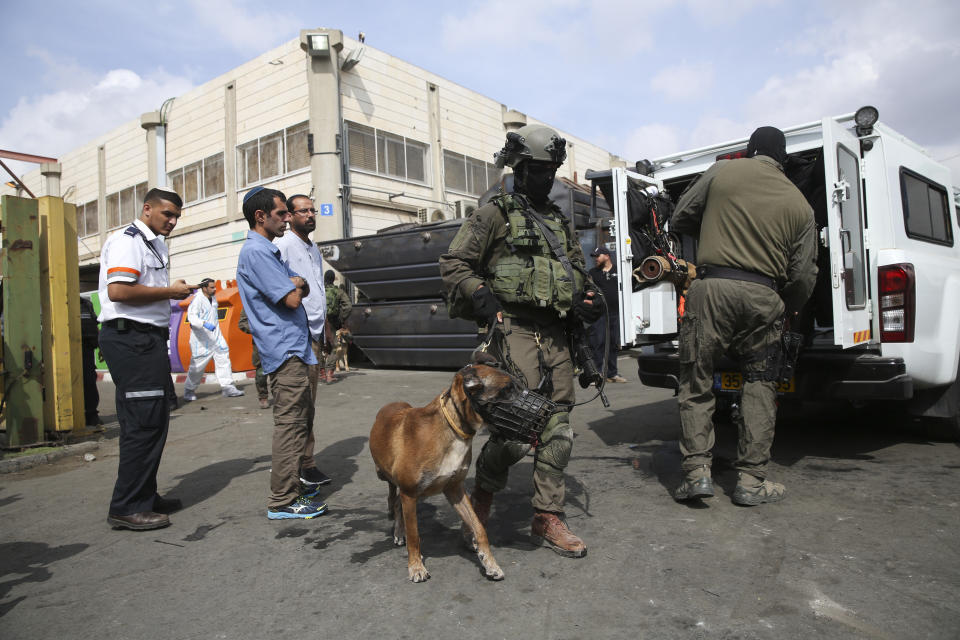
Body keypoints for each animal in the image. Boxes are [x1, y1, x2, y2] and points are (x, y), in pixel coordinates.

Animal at [368, 364, 516, 580]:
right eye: (507, 389)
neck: (453, 430)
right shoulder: (409, 493)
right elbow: (414, 535)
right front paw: (416, 566)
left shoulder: (455, 490)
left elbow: (479, 527)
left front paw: (489, 562)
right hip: (387, 476)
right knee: (394, 499)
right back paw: (399, 531)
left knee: (396, 503)